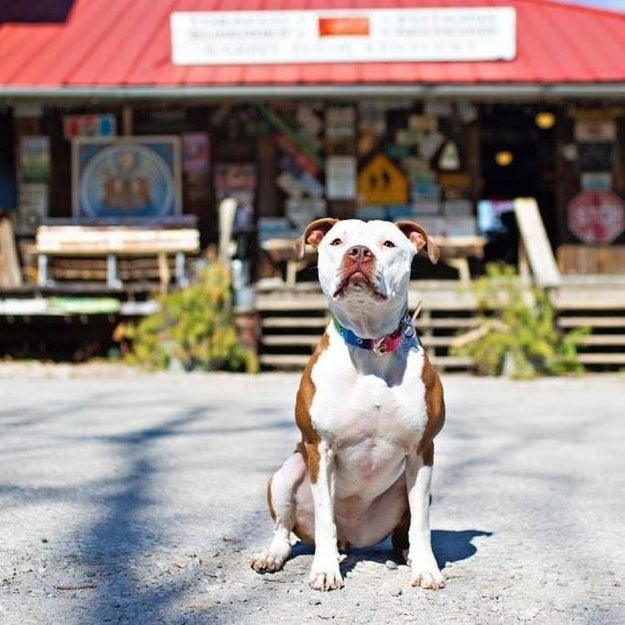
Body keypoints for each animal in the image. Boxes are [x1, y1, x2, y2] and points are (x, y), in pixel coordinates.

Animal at [251, 218, 446, 588]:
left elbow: (422, 524)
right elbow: (325, 516)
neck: (370, 343)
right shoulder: (320, 448)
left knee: (404, 531)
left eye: (388, 243)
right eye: (337, 241)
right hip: (287, 473)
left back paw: (409, 555)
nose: (359, 252)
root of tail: (353, 540)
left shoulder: (422, 450)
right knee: (285, 529)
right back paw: (273, 555)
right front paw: (325, 570)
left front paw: (427, 569)